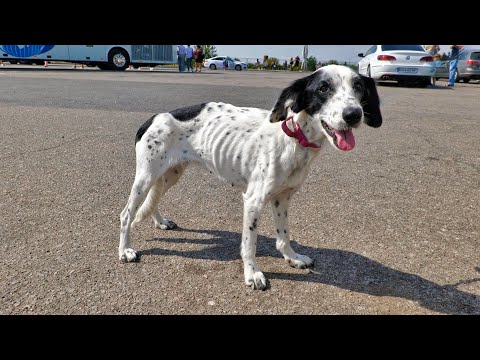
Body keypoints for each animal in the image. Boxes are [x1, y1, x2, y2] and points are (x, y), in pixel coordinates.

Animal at [120, 64, 382, 290]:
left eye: (358, 87)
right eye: (323, 88)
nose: (354, 114)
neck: (294, 138)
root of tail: (153, 117)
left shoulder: (282, 198)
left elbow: (283, 236)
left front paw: (292, 258)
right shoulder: (253, 201)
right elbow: (249, 244)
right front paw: (252, 273)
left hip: (169, 175)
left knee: (154, 199)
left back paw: (160, 222)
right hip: (145, 176)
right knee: (126, 214)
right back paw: (125, 250)